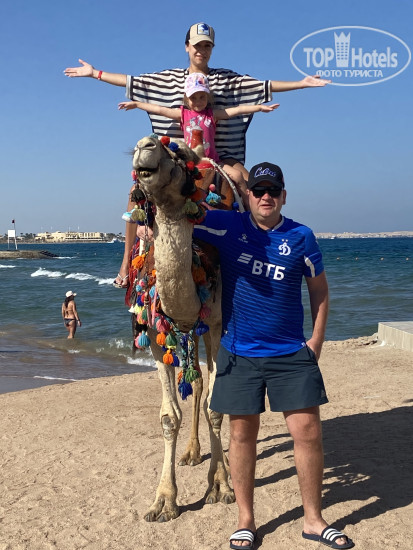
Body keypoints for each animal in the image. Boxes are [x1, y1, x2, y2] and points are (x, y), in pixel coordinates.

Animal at [131, 134, 236, 522]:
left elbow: (215, 407)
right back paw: (192, 452)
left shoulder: (218, 323)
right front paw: (164, 500)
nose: (144, 145)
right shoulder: (155, 338)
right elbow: (167, 417)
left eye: (177, 157)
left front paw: (220, 485)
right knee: (199, 380)